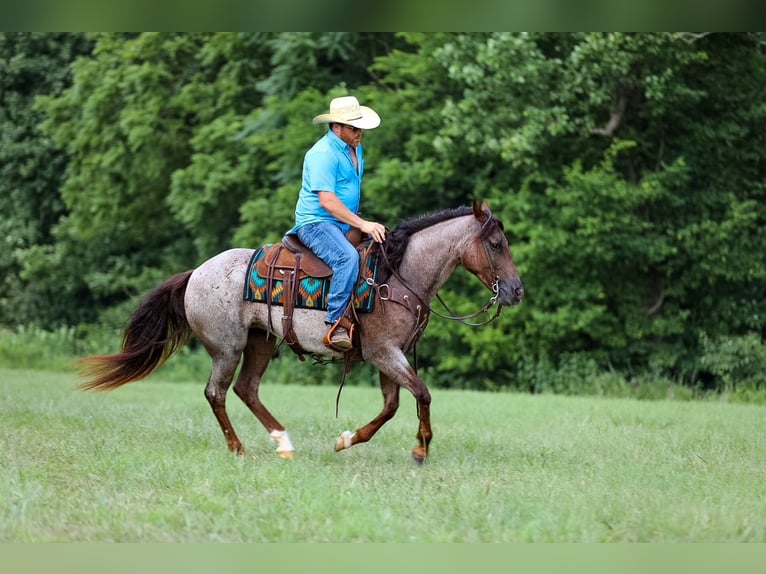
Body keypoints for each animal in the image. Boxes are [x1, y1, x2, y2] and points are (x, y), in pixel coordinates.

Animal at [79, 200, 524, 463]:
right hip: (227, 347)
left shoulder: (389, 354)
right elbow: (422, 394)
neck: (397, 275)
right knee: (216, 393)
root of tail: (196, 272)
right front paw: (420, 447)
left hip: (261, 341)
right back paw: (238, 448)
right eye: (496, 244)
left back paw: (283, 443)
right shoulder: (384, 353)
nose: (517, 290)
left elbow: (393, 405)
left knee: (246, 390)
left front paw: (347, 439)